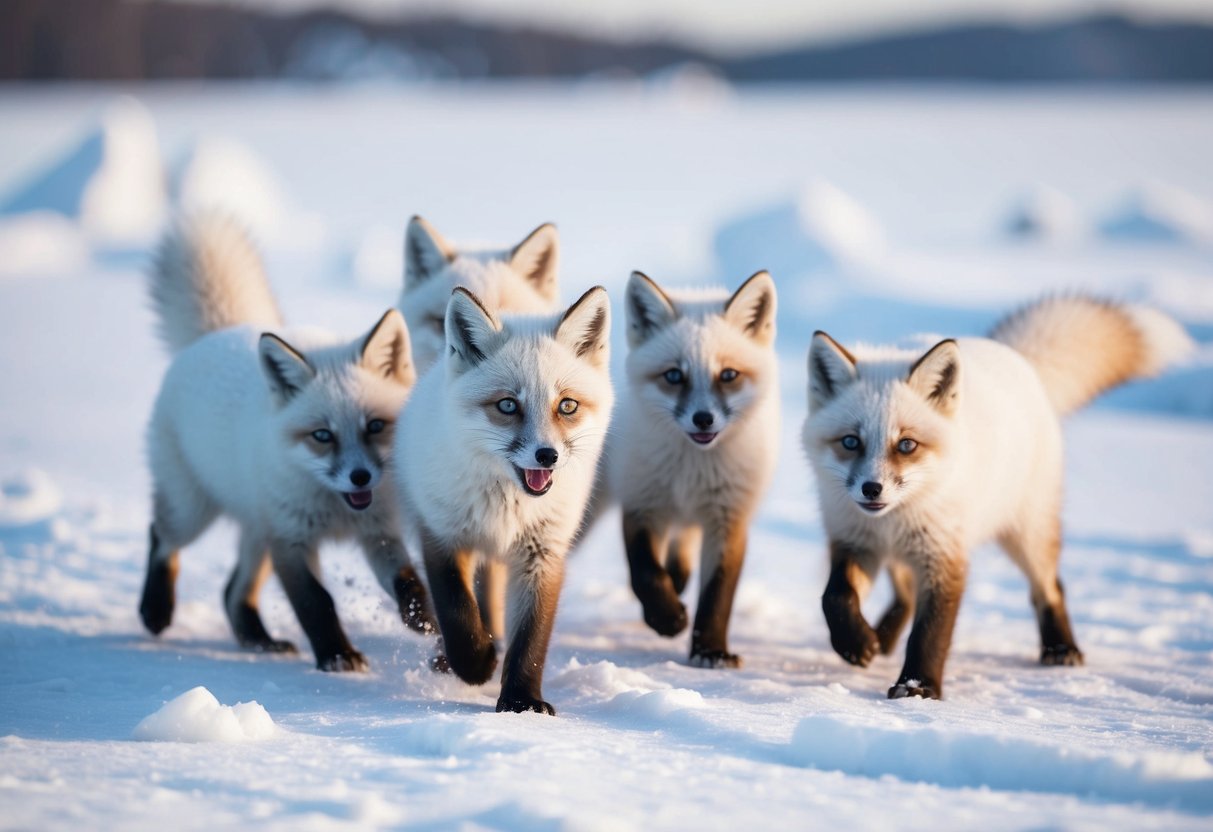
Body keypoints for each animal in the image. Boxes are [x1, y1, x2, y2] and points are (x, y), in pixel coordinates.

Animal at [139, 214, 434, 672]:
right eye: (322, 435)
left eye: (374, 426)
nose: (360, 477)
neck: (337, 509)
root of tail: (219, 332)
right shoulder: (291, 540)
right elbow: (316, 602)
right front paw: (337, 656)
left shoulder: (378, 531)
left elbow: (406, 581)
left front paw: (423, 620)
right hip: (194, 510)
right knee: (161, 538)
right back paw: (155, 611)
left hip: (258, 531)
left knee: (232, 592)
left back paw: (259, 640)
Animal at [394, 286, 613, 714]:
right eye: (508, 405)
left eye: (567, 405)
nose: (547, 455)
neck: (507, 506)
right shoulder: (443, 536)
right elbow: (457, 612)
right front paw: (476, 664)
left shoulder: (543, 553)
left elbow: (530, 639)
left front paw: (521, 701)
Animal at [612, 270, 780, 668]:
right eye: (674, 376)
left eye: (729, 375)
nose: (703, 419)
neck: (692, 470)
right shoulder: (641, 501)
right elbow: (645, 572)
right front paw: (666, 617)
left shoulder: (729, 517)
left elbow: (718, 593)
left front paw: (711, 652)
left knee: (682, 554)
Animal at [802, 295, 1193, 699]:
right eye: (851, 442)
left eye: (907, 444)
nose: (872, 489)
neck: (892, 520)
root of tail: (1015, 356)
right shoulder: (853, 540)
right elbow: (835, 597)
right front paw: (854, 643)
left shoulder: (945, 556)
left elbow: (930, 633)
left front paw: (918, 688)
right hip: (904, 554)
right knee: (905, 598)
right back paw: (880, 639)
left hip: (1027, 535)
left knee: (1050, 588)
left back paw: (1061, 648)